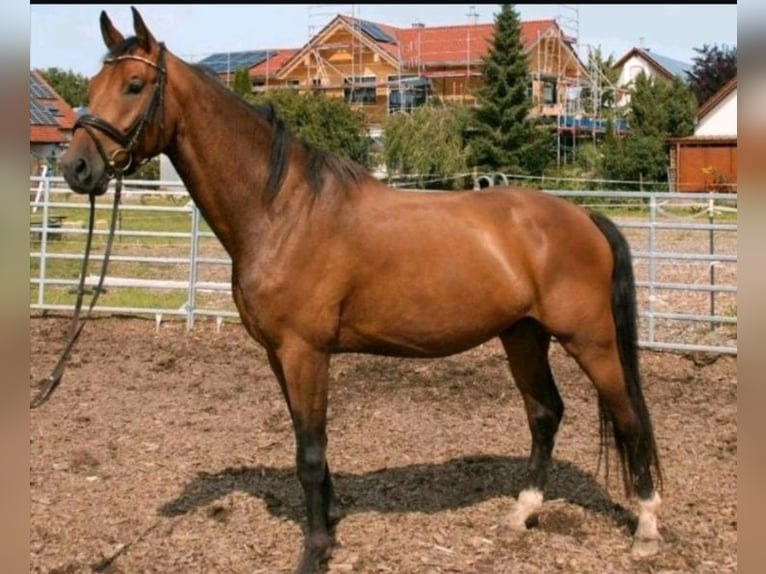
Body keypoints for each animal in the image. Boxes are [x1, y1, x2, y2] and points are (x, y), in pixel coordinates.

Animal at [57, 7, 663, 573]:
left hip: (590, 341)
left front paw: (314, 549)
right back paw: (522, 513)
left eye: (135, 85)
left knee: (629, 417)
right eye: (93, 84)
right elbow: (309, 444)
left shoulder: (305, 352)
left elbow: (309, 451)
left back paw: (646, 529)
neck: (281, 209)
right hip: (523, 336)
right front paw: (329, 523)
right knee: (545, 413)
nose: (76, 168)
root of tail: (583, 216)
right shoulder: (281, 355)